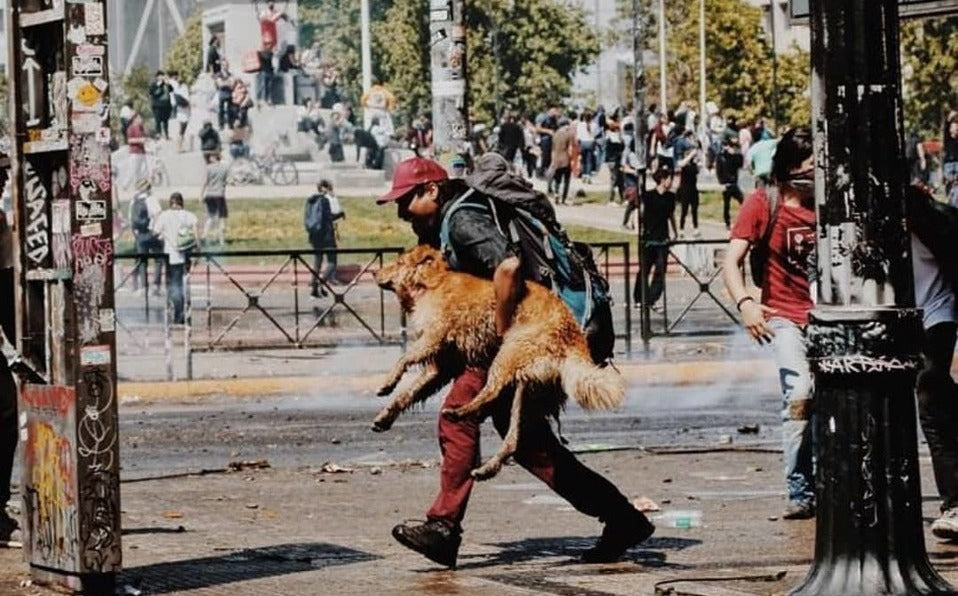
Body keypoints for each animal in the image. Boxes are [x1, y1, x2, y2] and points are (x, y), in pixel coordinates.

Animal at [372, 242, 628, 480]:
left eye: (398, 262)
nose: (374, 272)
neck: (434, 282)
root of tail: (573, 335)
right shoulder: (440, 366)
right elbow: (408, 394)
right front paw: (384, 417)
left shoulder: (433, 337)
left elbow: (403, 359)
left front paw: (387, 384)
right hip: (527, 388)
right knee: (513, 439)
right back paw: (486, 467)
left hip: (508, 354)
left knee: (492, 390)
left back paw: (461, 412)